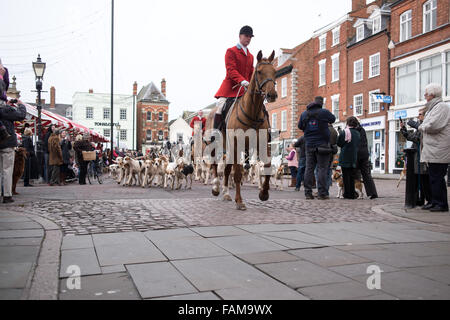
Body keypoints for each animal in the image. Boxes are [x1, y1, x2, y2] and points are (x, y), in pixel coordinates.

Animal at [205, 50, 276, 210]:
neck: (252, 112)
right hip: (215, 145)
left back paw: (226, 193)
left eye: (274, 71)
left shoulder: (262, 144)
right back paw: (216, 187)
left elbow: (267, 166)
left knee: (226, 169)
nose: (272, 95)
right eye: (259, 71)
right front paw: (239, 201)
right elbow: (237, 173)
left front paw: (264, 194)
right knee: (214, 164)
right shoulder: (237, 145)